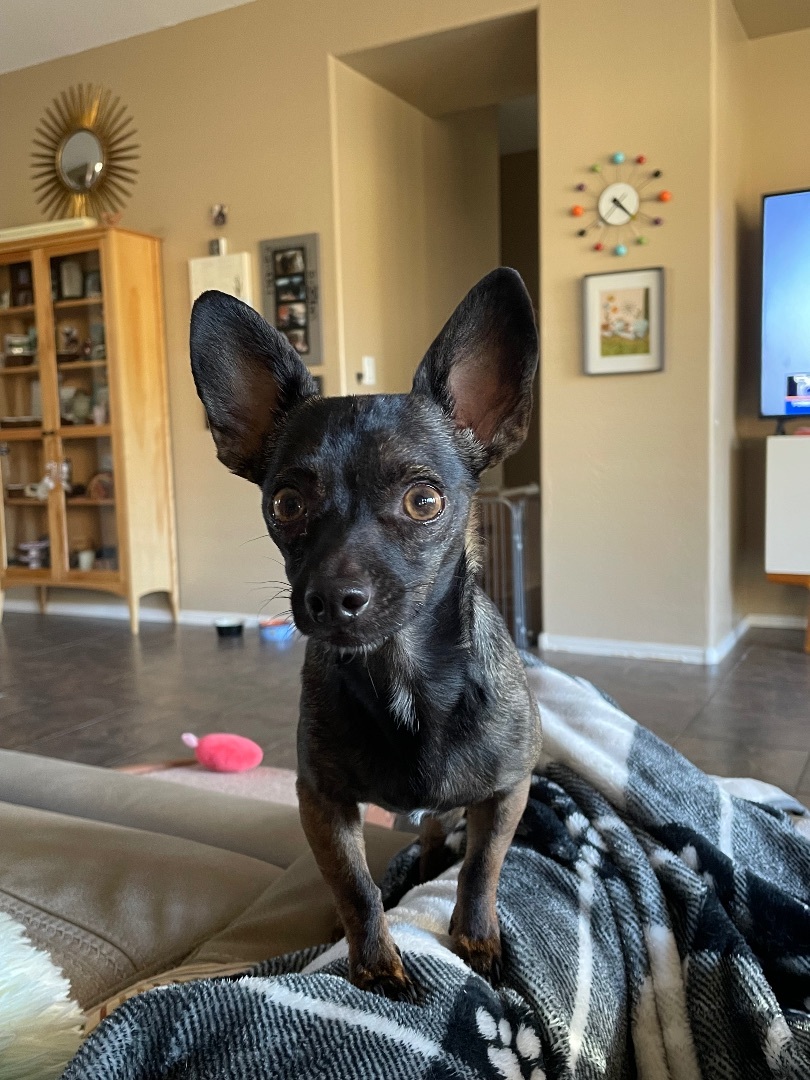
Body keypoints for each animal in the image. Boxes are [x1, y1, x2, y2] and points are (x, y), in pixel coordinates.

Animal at [192, 270, 540, 1002]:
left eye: (424, 501)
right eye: (285, 504)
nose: (330, 599)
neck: (402, 673)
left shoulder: (506, 793)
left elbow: (481, 871)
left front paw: (476, 940)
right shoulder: (322, 803)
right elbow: (354, 886)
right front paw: (375, 963)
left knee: (440, 840)